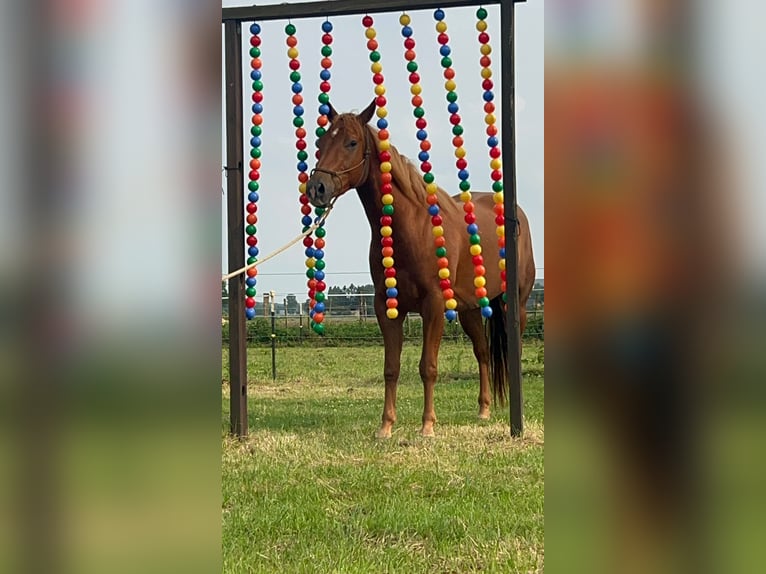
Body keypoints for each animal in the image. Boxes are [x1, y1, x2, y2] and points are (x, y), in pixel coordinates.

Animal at [304, 101, 536, 438]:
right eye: (321, 143)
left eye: (351, 142)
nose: (317, 189)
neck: (413, 227)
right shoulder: (386, 307)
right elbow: (391, 368)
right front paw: (386, 426)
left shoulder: (434, 306)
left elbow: (428, 366)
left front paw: (427, 425)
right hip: (469, 310)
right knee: (482, 353)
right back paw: (483, 409)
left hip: (514, 303)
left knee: (511, 351)